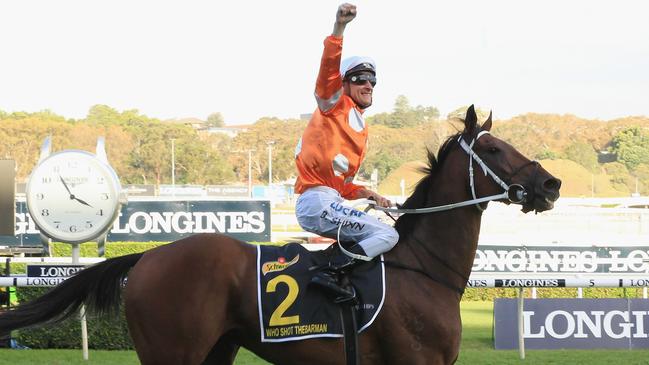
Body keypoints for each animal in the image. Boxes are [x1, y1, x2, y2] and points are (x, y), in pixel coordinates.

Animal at [0, 104, 556, 362]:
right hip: (171, 352)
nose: (551, 184)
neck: (422, 271)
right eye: (496, 149)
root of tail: (150, 256)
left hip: (217, 349)